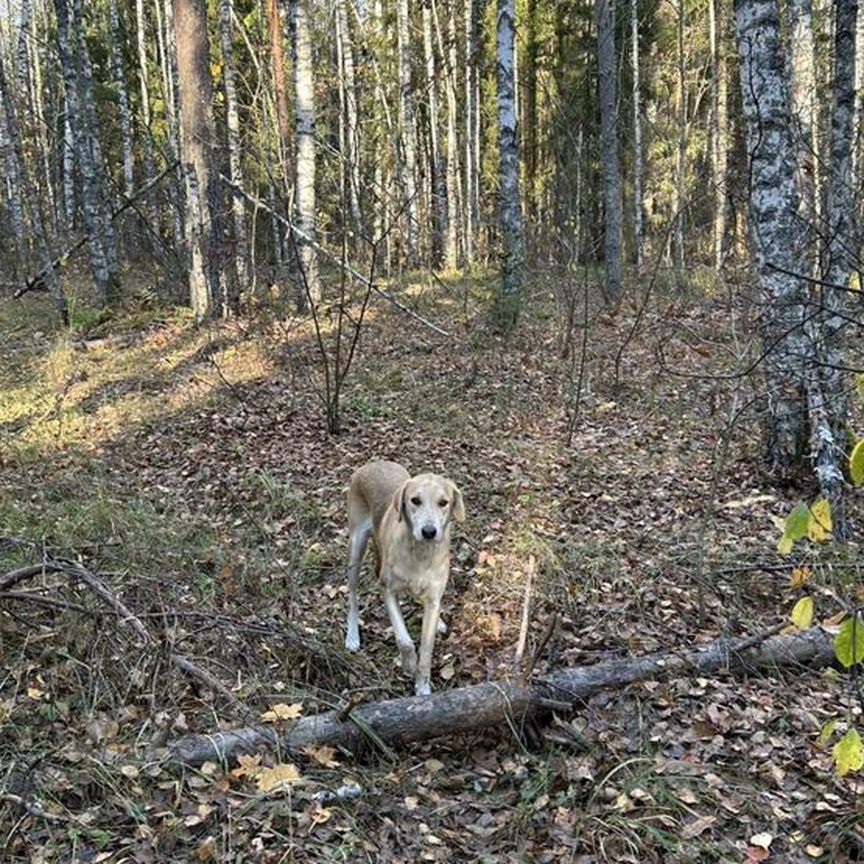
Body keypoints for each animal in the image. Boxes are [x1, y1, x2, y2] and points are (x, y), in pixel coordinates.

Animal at [344, 460, 466, 696]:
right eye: (415, 500)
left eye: (443, 503)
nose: (429, 531)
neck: (420, 553)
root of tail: (374, 462)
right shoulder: (388, 590)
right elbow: (405, 640)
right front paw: (409, 664)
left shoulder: (433, 597)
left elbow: (426, 650)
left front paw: (423, 688)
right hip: (356, 548)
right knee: (353, 595)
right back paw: (352, 635)